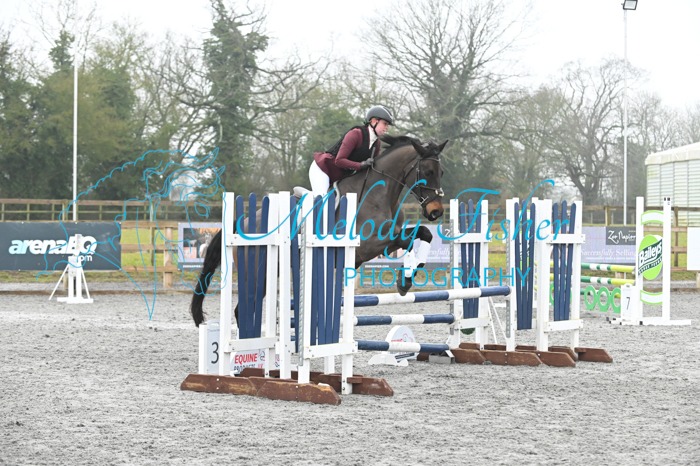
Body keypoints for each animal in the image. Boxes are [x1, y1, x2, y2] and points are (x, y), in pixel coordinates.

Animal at [190, 134, 448, 326]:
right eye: (427, 172)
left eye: (441, 173)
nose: (436, 211)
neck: (378, 194)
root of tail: (242, 221)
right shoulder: (370, 244)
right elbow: (411, 239)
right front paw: (405, 279)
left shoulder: (388, 240)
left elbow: (423, 234)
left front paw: (408, 276)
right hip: (255, 272)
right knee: (241, 310)